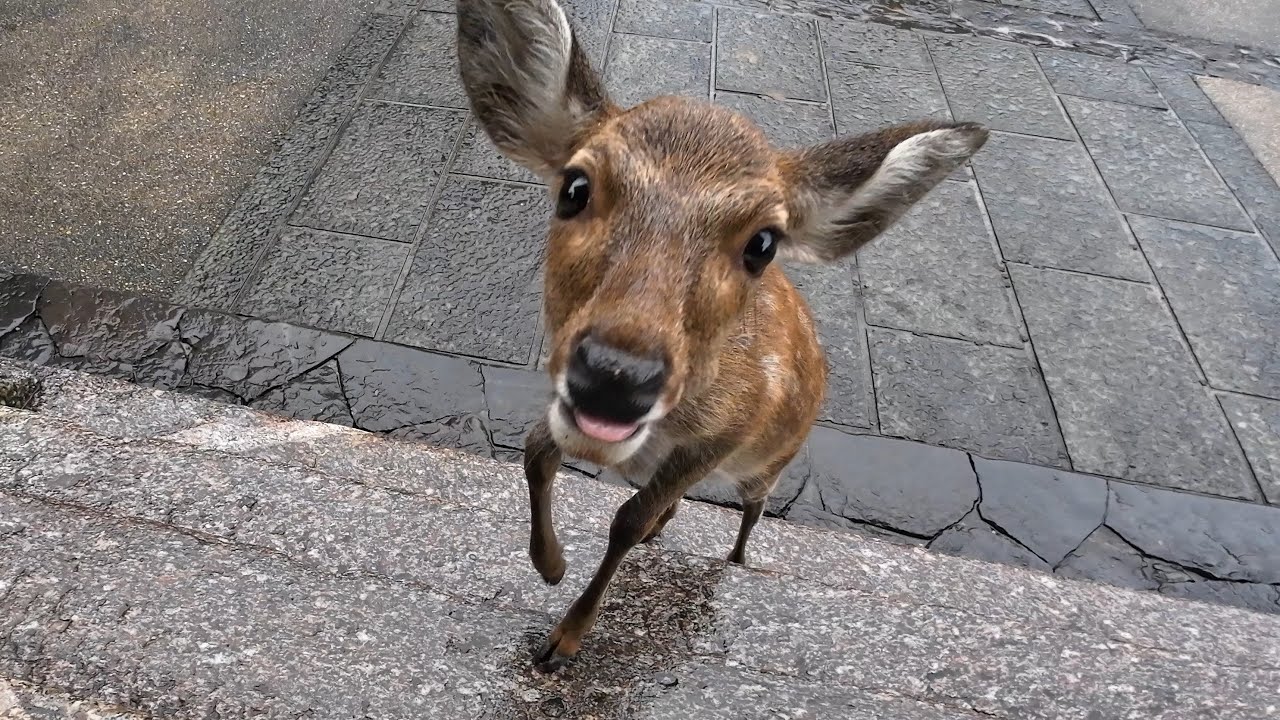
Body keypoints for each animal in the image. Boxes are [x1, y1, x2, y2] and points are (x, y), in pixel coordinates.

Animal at [456, 0, 988, 671]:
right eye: (575, 187)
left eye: (763, 242)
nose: (616, 378)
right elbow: (534, 450)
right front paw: (550, 565)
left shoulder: (729, 432)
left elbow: (626, 521)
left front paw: (565, 640)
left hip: (770, 464)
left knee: (752, 508)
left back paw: (735, 559)